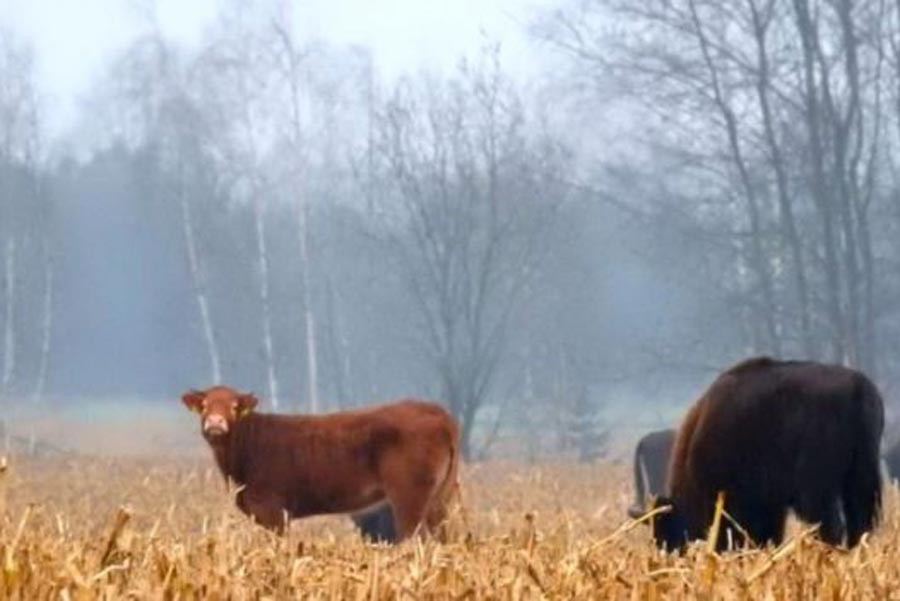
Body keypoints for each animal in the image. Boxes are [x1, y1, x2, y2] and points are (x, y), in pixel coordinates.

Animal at [185, 386, 464, 540]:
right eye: (205, 405)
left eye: (234, 406)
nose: (215, 423)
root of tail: (438, 412)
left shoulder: (274, 510)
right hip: (440, 498)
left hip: (409, 497)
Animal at [652, 356, 884, 552]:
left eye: (666, 530)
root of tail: (858, 387)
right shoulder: (771, 505)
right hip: (860, 478)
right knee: (860, 523)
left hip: (817, 491)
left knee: (831, 526)